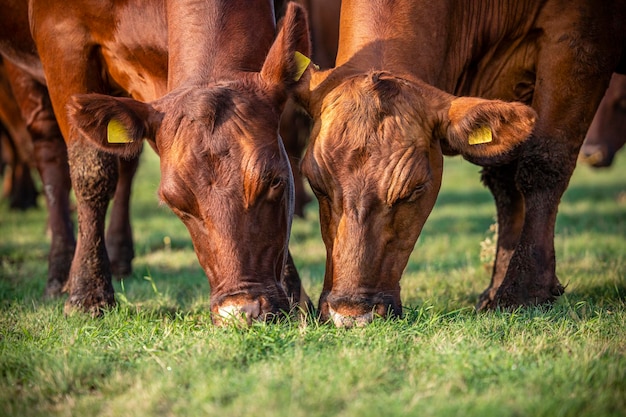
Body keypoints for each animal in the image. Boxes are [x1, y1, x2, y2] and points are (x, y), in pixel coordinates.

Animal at [0, 0, 312, 322]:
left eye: (275, 181)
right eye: (177, 205)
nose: (240, 311)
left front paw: (295, 293)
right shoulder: (62, 38)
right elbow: (91, 171)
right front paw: (88, 295)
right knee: (49, 156)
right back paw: (60, 273)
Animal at [296, 0, 620, 324]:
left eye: (414, 189)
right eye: (316, 184)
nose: (350, 312)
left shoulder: (578, 42)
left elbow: (544, 164)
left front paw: (523, 290)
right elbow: (505, 183)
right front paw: (496, 286)